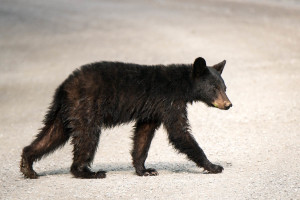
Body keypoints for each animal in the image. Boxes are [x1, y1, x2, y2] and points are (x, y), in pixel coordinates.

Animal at [20, 57, 232, 179]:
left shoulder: (152, 110)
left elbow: (143, 135)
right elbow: (179, 133)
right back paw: (88, 172)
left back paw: (28, 166)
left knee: (52, 133)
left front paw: (144, 170)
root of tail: (64, 86)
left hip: (65, 112)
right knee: (87, 136)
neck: (182, 85)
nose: (228, 104)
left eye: (225, 87)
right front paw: (213, 166)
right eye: (214, 88)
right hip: (86, 107)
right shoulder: (169, 102)